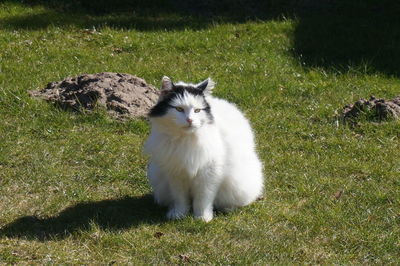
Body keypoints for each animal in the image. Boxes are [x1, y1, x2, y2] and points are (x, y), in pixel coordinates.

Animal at [143, 76, 262, 221]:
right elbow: (180, 199)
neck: (185, 139)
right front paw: (178, 215)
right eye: (179, 109)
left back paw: (227, 209)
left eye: (197, 111)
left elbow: (203, 199)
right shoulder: (176, 173)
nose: (189, 120)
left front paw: (202, 218)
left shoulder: (209, 174)